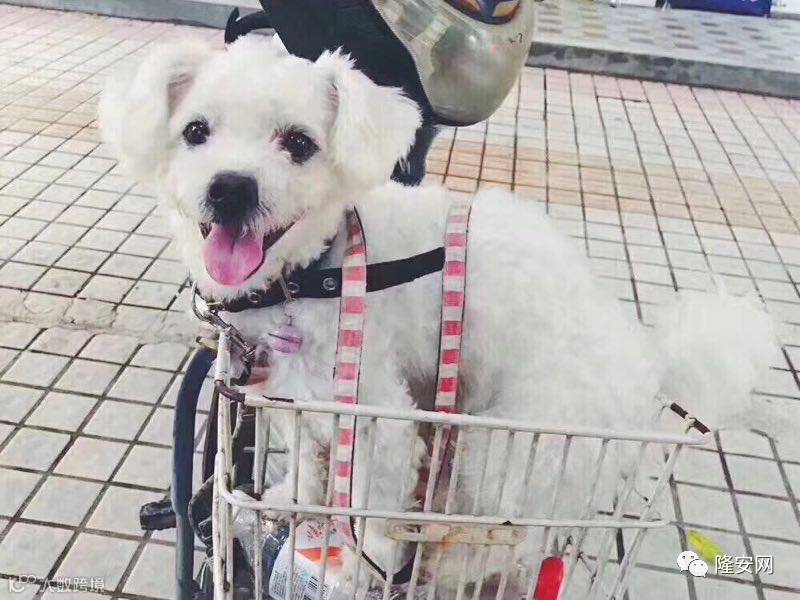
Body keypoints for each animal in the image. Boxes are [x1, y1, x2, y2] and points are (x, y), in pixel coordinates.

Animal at [100, 35, 776, 593]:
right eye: (195, 131)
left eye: (298, 143)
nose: (230, 187)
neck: (316, 271)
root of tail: (651, 360)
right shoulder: (297, 399)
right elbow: (313, 474)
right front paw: (290, 501)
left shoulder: (378, 418)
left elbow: (370, 508)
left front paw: (361, 564)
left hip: (511, 444)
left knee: (511, 537)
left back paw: (439, 568)